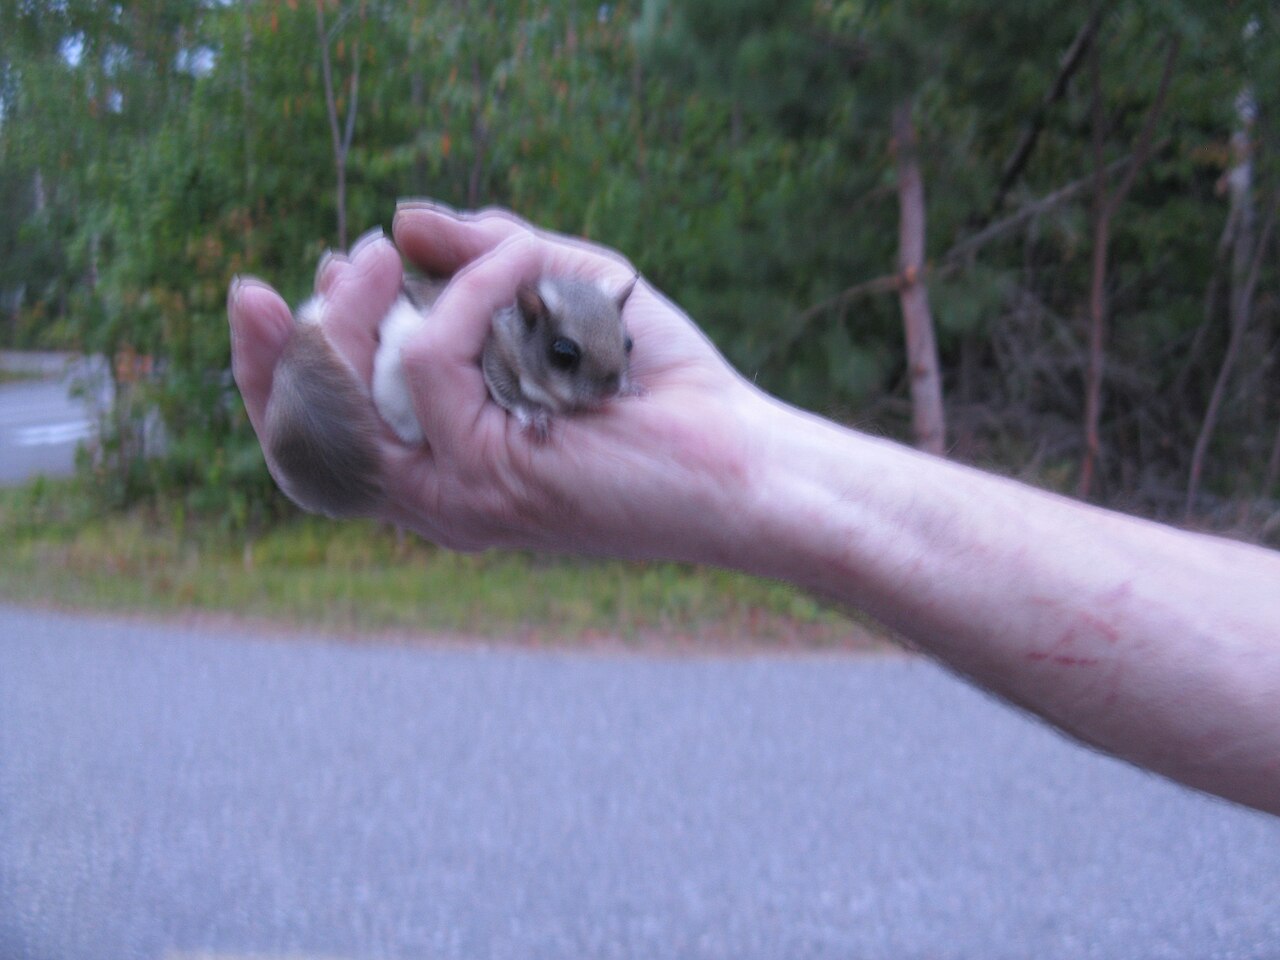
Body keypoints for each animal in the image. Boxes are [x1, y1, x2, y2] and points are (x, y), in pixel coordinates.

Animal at [263, 272, 636, 519]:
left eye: (629, 342)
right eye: (563, 353)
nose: (610, 387)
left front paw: (630, 386)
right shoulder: (494, 353)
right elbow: (507, 390)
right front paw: (533, 413)